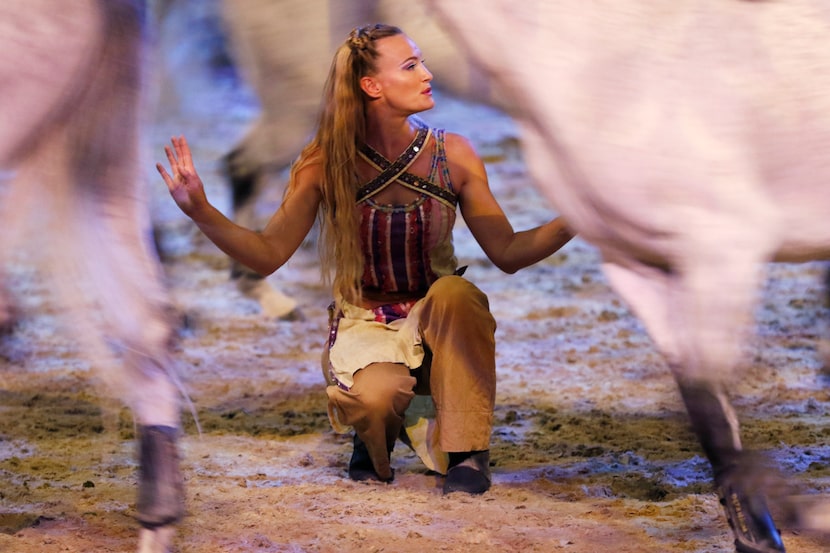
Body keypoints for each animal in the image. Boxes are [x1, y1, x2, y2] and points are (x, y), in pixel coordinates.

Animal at [432, 1, 830, 552]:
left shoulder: (724, 246)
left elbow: (713, 398)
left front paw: (795, 520)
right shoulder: (636, 266)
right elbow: (706, 408)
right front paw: (758, 536)